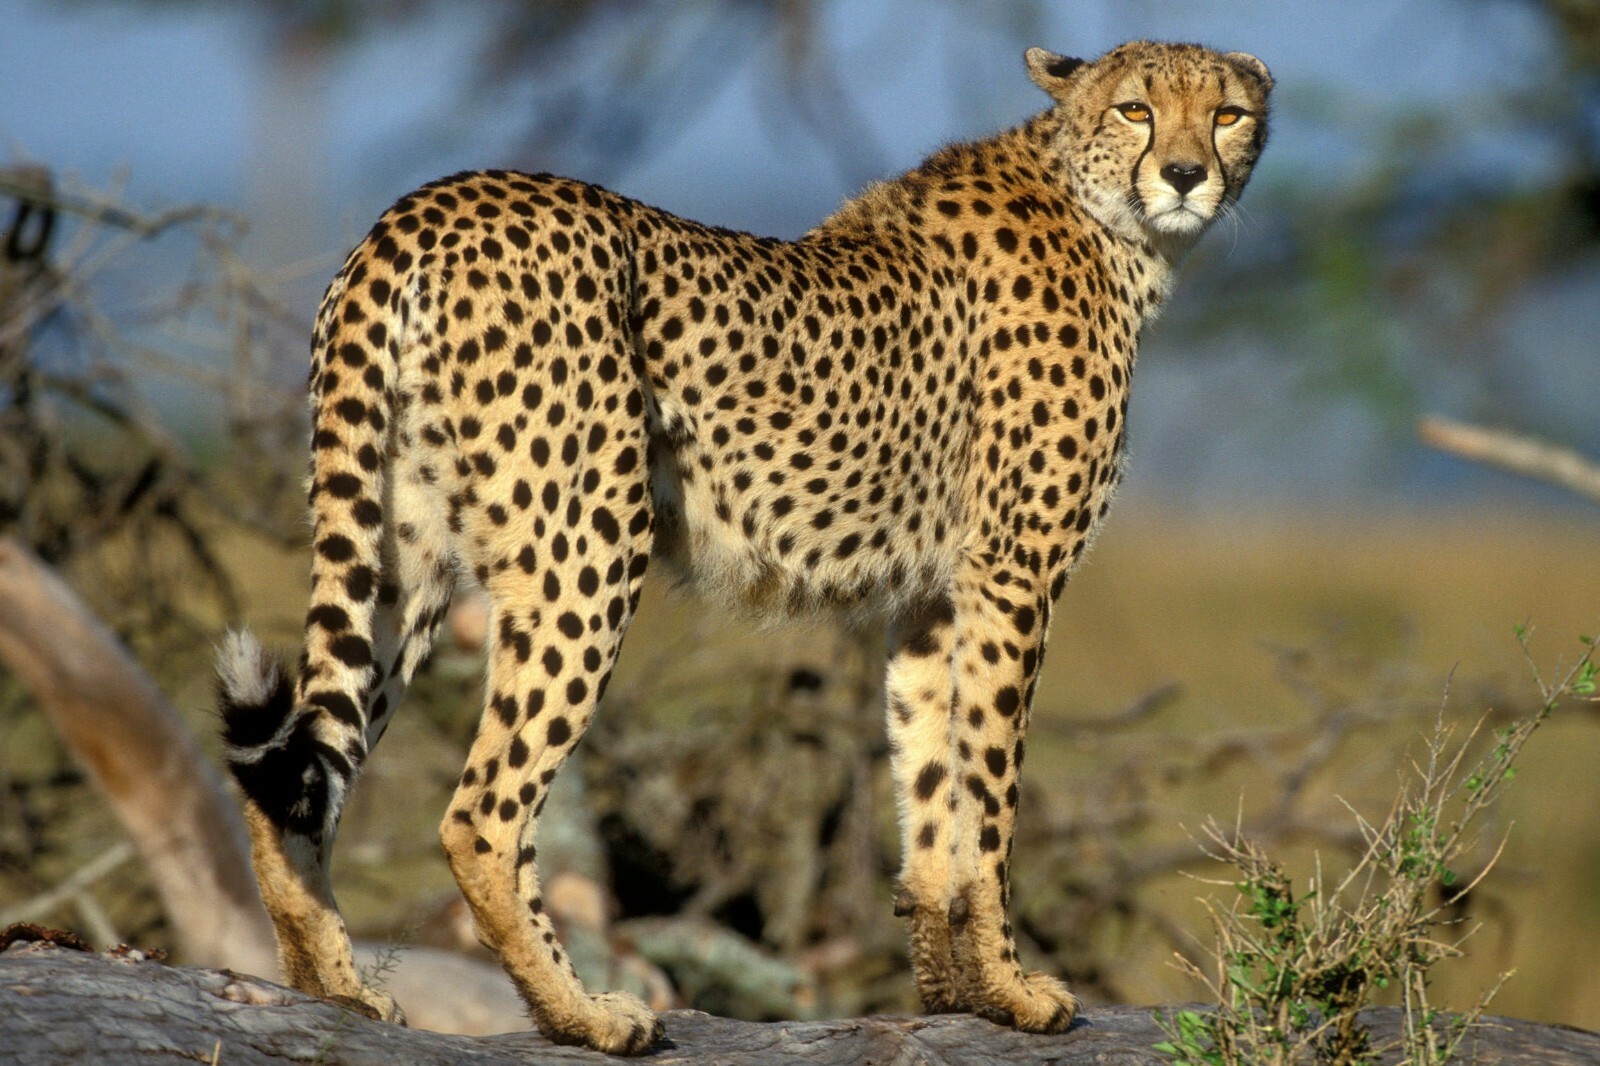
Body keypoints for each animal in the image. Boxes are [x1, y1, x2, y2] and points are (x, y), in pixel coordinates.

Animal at [217, 39, 1271, 1055]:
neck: (1107, 220)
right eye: (1135, 108)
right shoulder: (1012, 576)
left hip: (403, 555)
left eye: (1227, 114)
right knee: (482, 813)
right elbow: (991, 799)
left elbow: (932, 787)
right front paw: (1014, 991)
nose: (1185, 174)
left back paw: (334, 990)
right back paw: (583, 1014)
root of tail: (426, 205)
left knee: (301, 775)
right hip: (589, 539)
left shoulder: (932, 597)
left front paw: (954, 991)